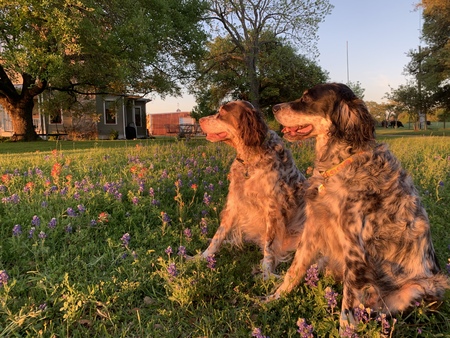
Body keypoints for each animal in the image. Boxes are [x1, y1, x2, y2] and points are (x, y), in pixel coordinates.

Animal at [200, 101, 306, 280]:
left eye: (222, 112)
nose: (200, 120)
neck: (250, 162)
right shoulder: (234, 203)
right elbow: (218, 236)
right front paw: (202, 257)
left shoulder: (273, 210)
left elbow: (269, 248)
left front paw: (266, 273)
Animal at [268, 84, 448, 330]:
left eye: (306, 99)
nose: (274, 107)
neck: (339, 165)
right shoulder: (312, 229)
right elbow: (294, 270)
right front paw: (272, 299)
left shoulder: (355, 250)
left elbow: (348, 303)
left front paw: (346, 330)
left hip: (416, 290)